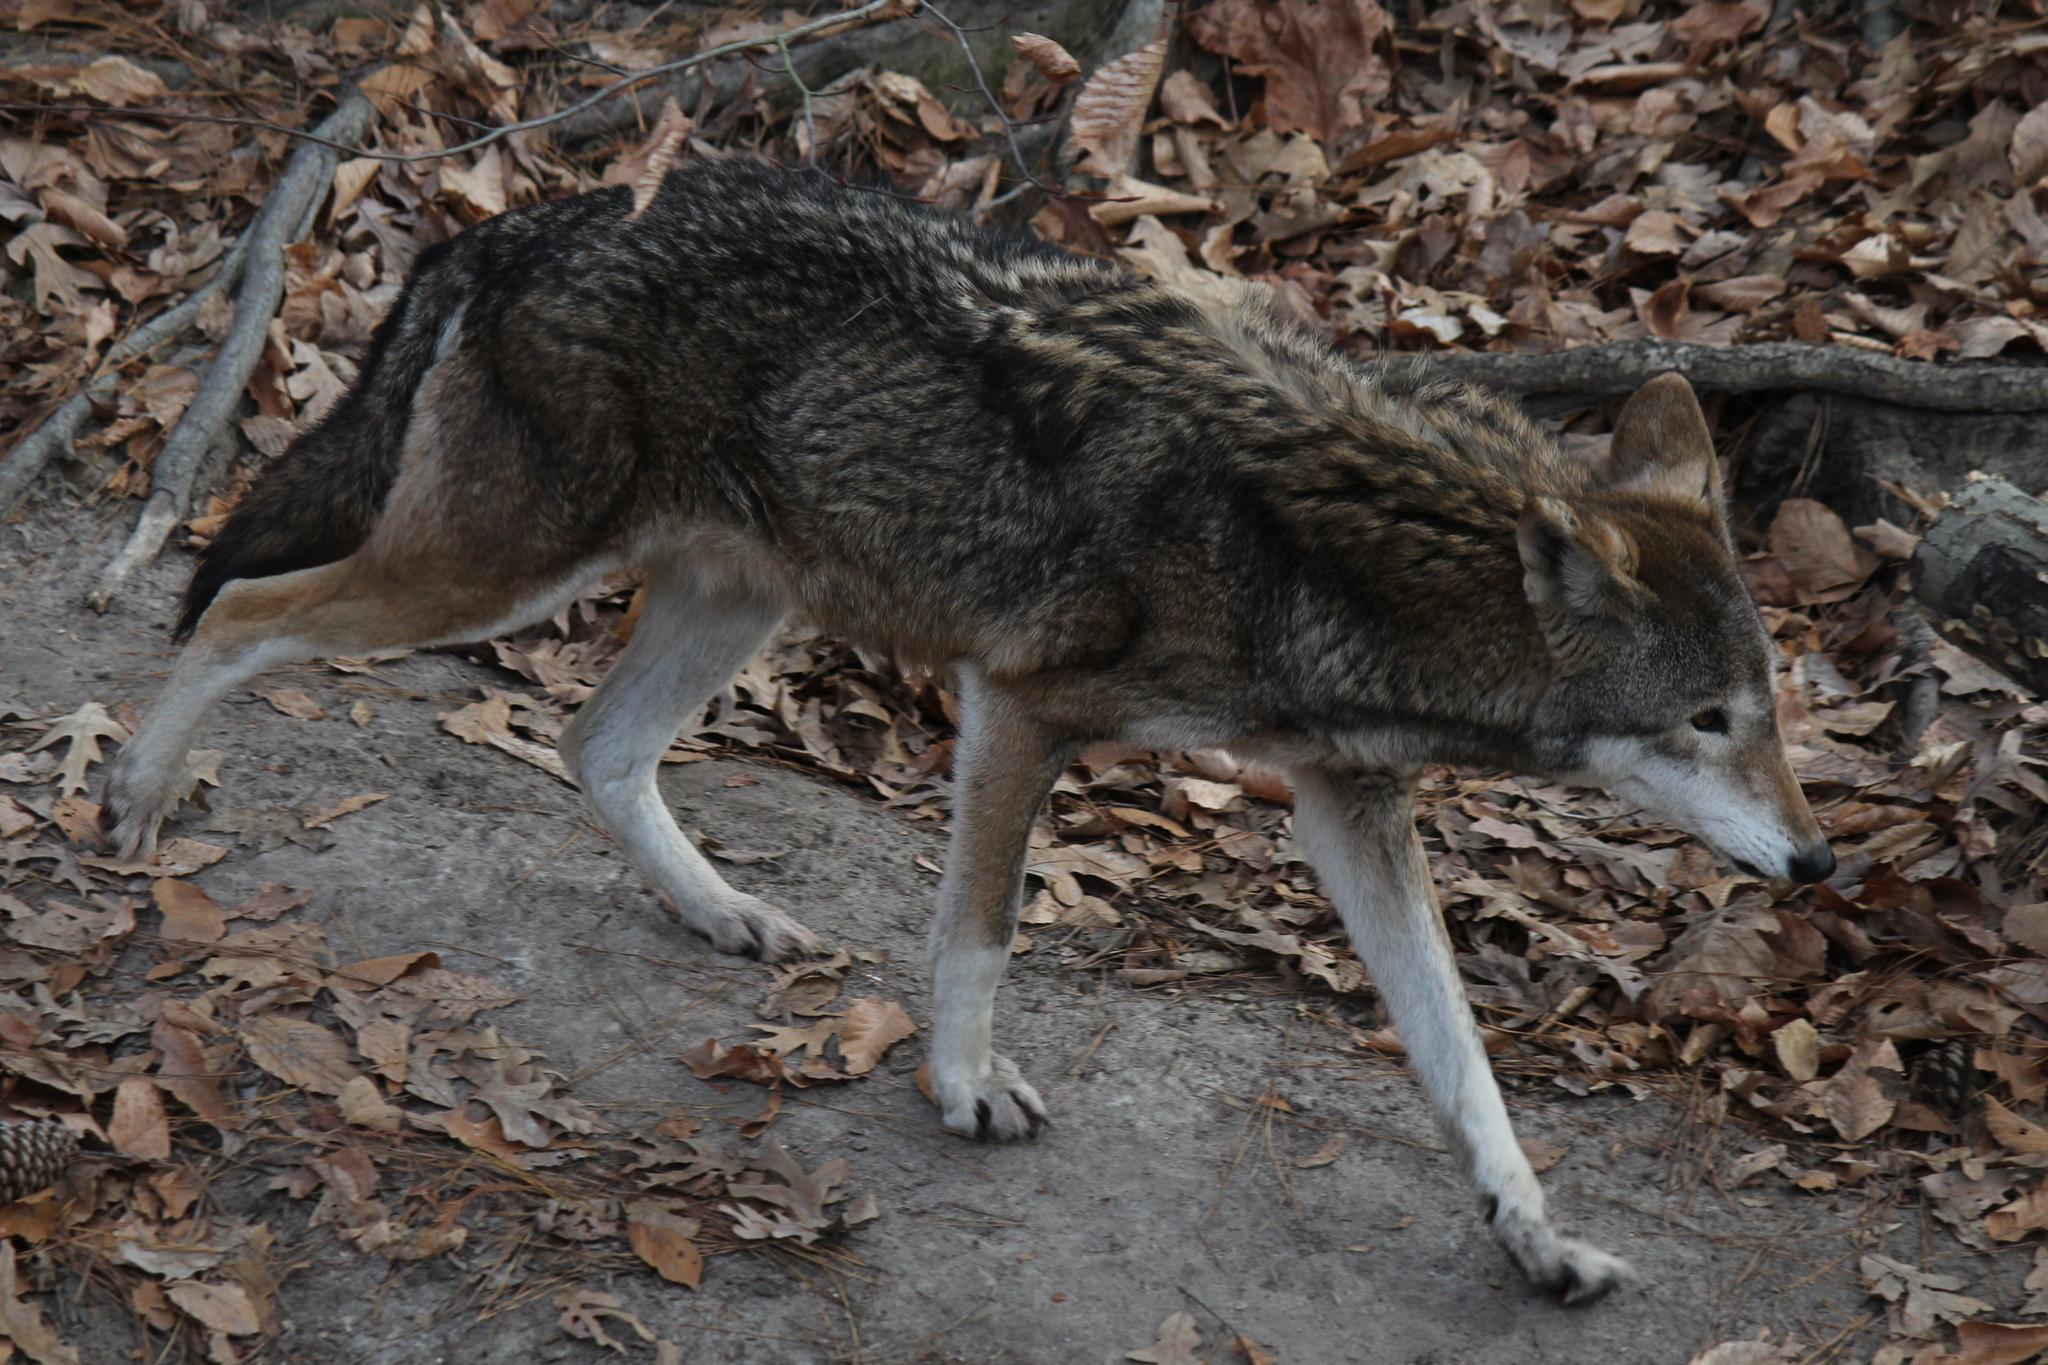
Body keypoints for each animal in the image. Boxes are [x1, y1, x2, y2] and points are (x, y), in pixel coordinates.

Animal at [102, 157, 1833, 1302]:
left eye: (1773, 719)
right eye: (1706, 719)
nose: (1819, 866)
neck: (1326, 548)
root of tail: (509, 221)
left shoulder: (1344, 800)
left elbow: (1464, 1058)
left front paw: (1536, 1234)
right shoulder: (1021, 707)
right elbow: (983, 934)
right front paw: (962, 1089)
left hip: (723, 604)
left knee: (595, 747)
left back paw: (726, 913)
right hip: (498, 579)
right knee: (235, 611)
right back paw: (131, 797)